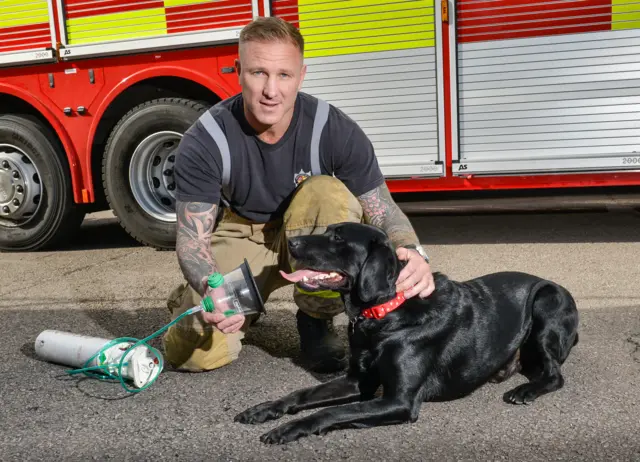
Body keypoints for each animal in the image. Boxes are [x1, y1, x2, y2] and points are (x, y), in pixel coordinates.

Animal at [235, 223, 580, 444]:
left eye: (338, 239)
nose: (291, 244)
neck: (384, 315)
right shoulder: (357, 381)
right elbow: (303, 394)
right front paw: (265, 409)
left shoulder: (399, 400)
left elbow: (336, 410)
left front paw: (290, 428)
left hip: (546, 303)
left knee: (555, 375)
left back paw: (525, 390)